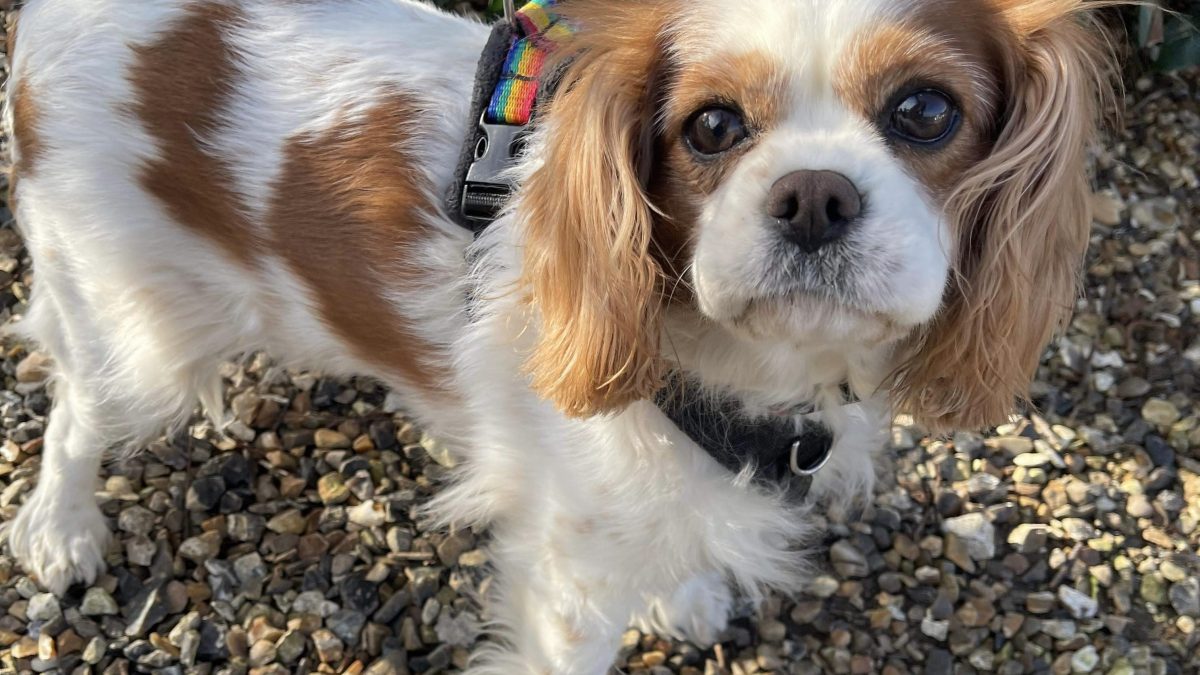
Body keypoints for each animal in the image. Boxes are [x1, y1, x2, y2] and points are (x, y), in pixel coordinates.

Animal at [7, 0, 1113, 667]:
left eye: (926, 112)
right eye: (711, 127)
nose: (813, 196)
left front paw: (684, 592)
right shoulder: (569, 577)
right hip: (130, 320)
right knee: (74, 412)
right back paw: (60, 529)